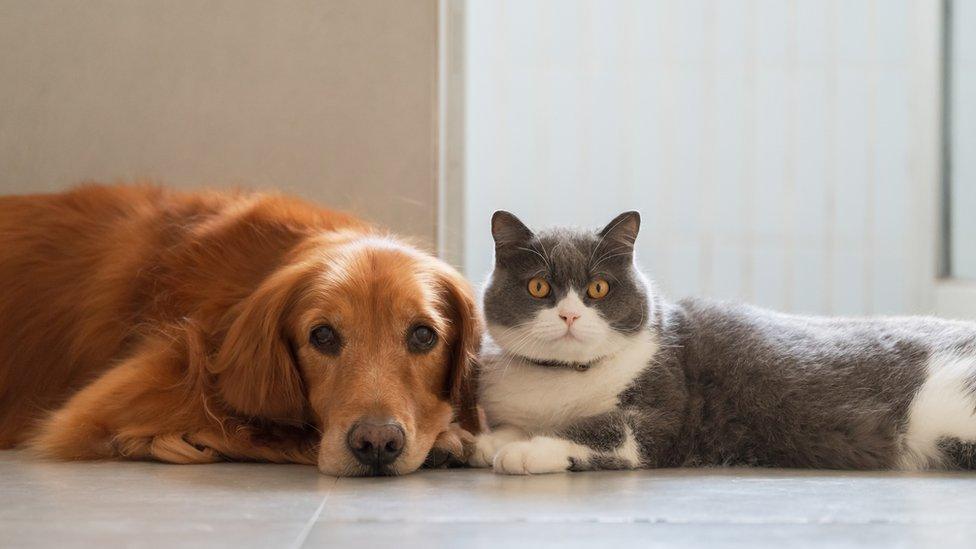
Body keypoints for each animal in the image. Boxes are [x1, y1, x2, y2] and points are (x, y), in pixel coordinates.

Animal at [468, 210, 976, 470]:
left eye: (598, 288)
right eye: (539, 287)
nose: (570, 314)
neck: (563, 380)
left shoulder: (659, 415)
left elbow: (600, 429)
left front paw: (525, 450)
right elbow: (511, 425)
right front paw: (489, 442)